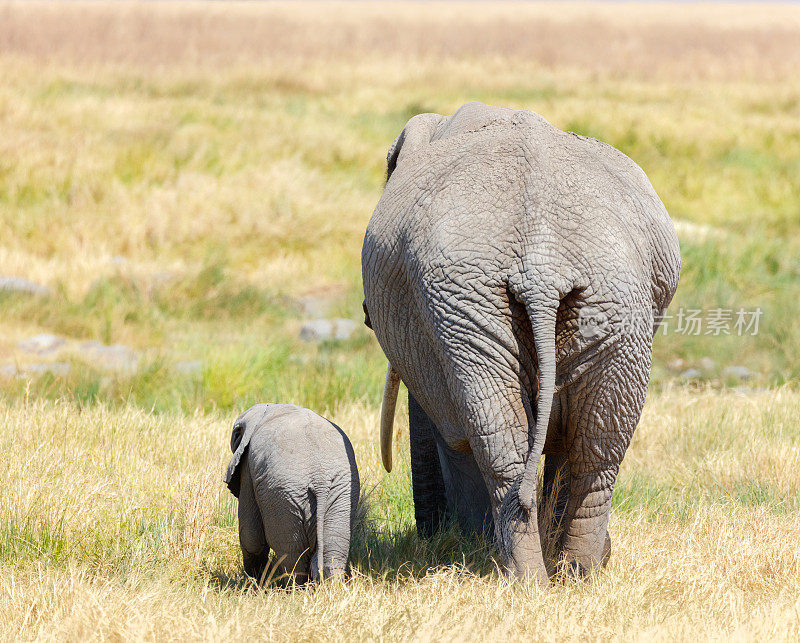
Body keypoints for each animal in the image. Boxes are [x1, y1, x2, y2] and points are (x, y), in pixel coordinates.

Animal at [225, 406, 362, 588]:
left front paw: (255, 582)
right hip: (341, 493)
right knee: (333, 545)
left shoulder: (248, 467)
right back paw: (332, 588)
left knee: (292, 552)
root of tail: (319, 478)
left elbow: (251, 536)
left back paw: (293, 589)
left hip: (281, 495)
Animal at [362, 102, 680, 584]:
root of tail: (542, 268)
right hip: (597, 309)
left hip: (484, 305)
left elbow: (449, 429)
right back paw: (572, 575)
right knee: (592, 447)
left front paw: (464, 546)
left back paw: (525, 576)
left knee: (512, 443)